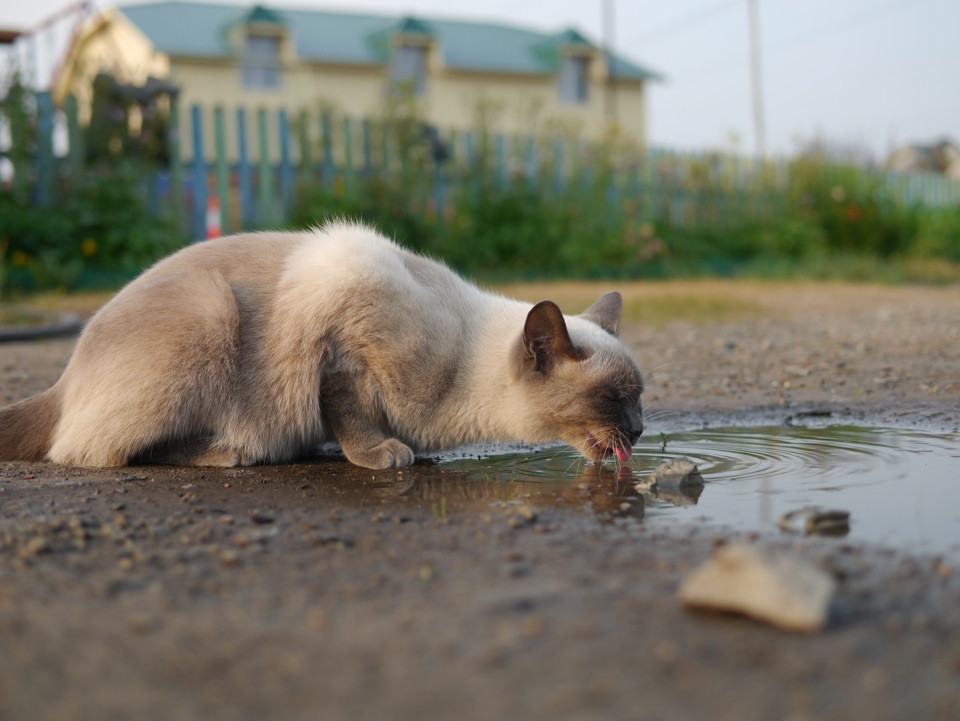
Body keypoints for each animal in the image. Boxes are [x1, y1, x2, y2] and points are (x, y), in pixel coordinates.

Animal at [1, 221, 644, 466]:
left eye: (638, 398)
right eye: (615, 399)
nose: (639, 432)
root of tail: (63, 379)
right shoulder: (344, 348)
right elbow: (352, 414)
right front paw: (383, 454)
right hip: (209, 313)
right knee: (94, 452)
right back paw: (234, 452)